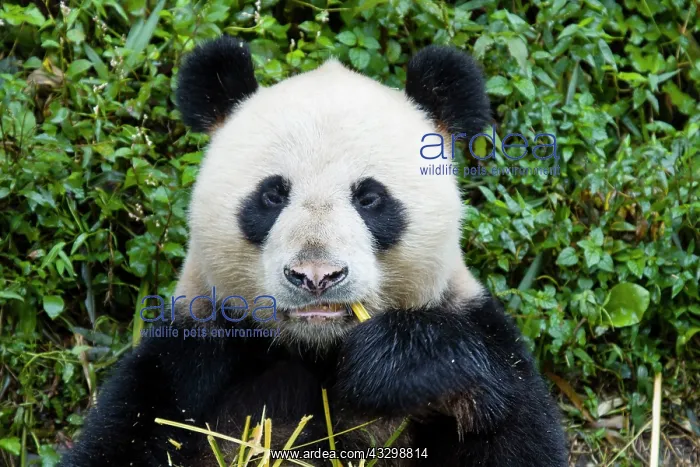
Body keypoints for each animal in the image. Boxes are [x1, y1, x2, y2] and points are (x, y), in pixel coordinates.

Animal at [59, 36, 568, 467]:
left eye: (369, 198)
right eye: (271, 195)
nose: (317, 275)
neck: (316, 353)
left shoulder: (483, 337)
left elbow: (511, 429)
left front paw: (395, 362)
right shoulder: (186, 359)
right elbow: (120, 439)